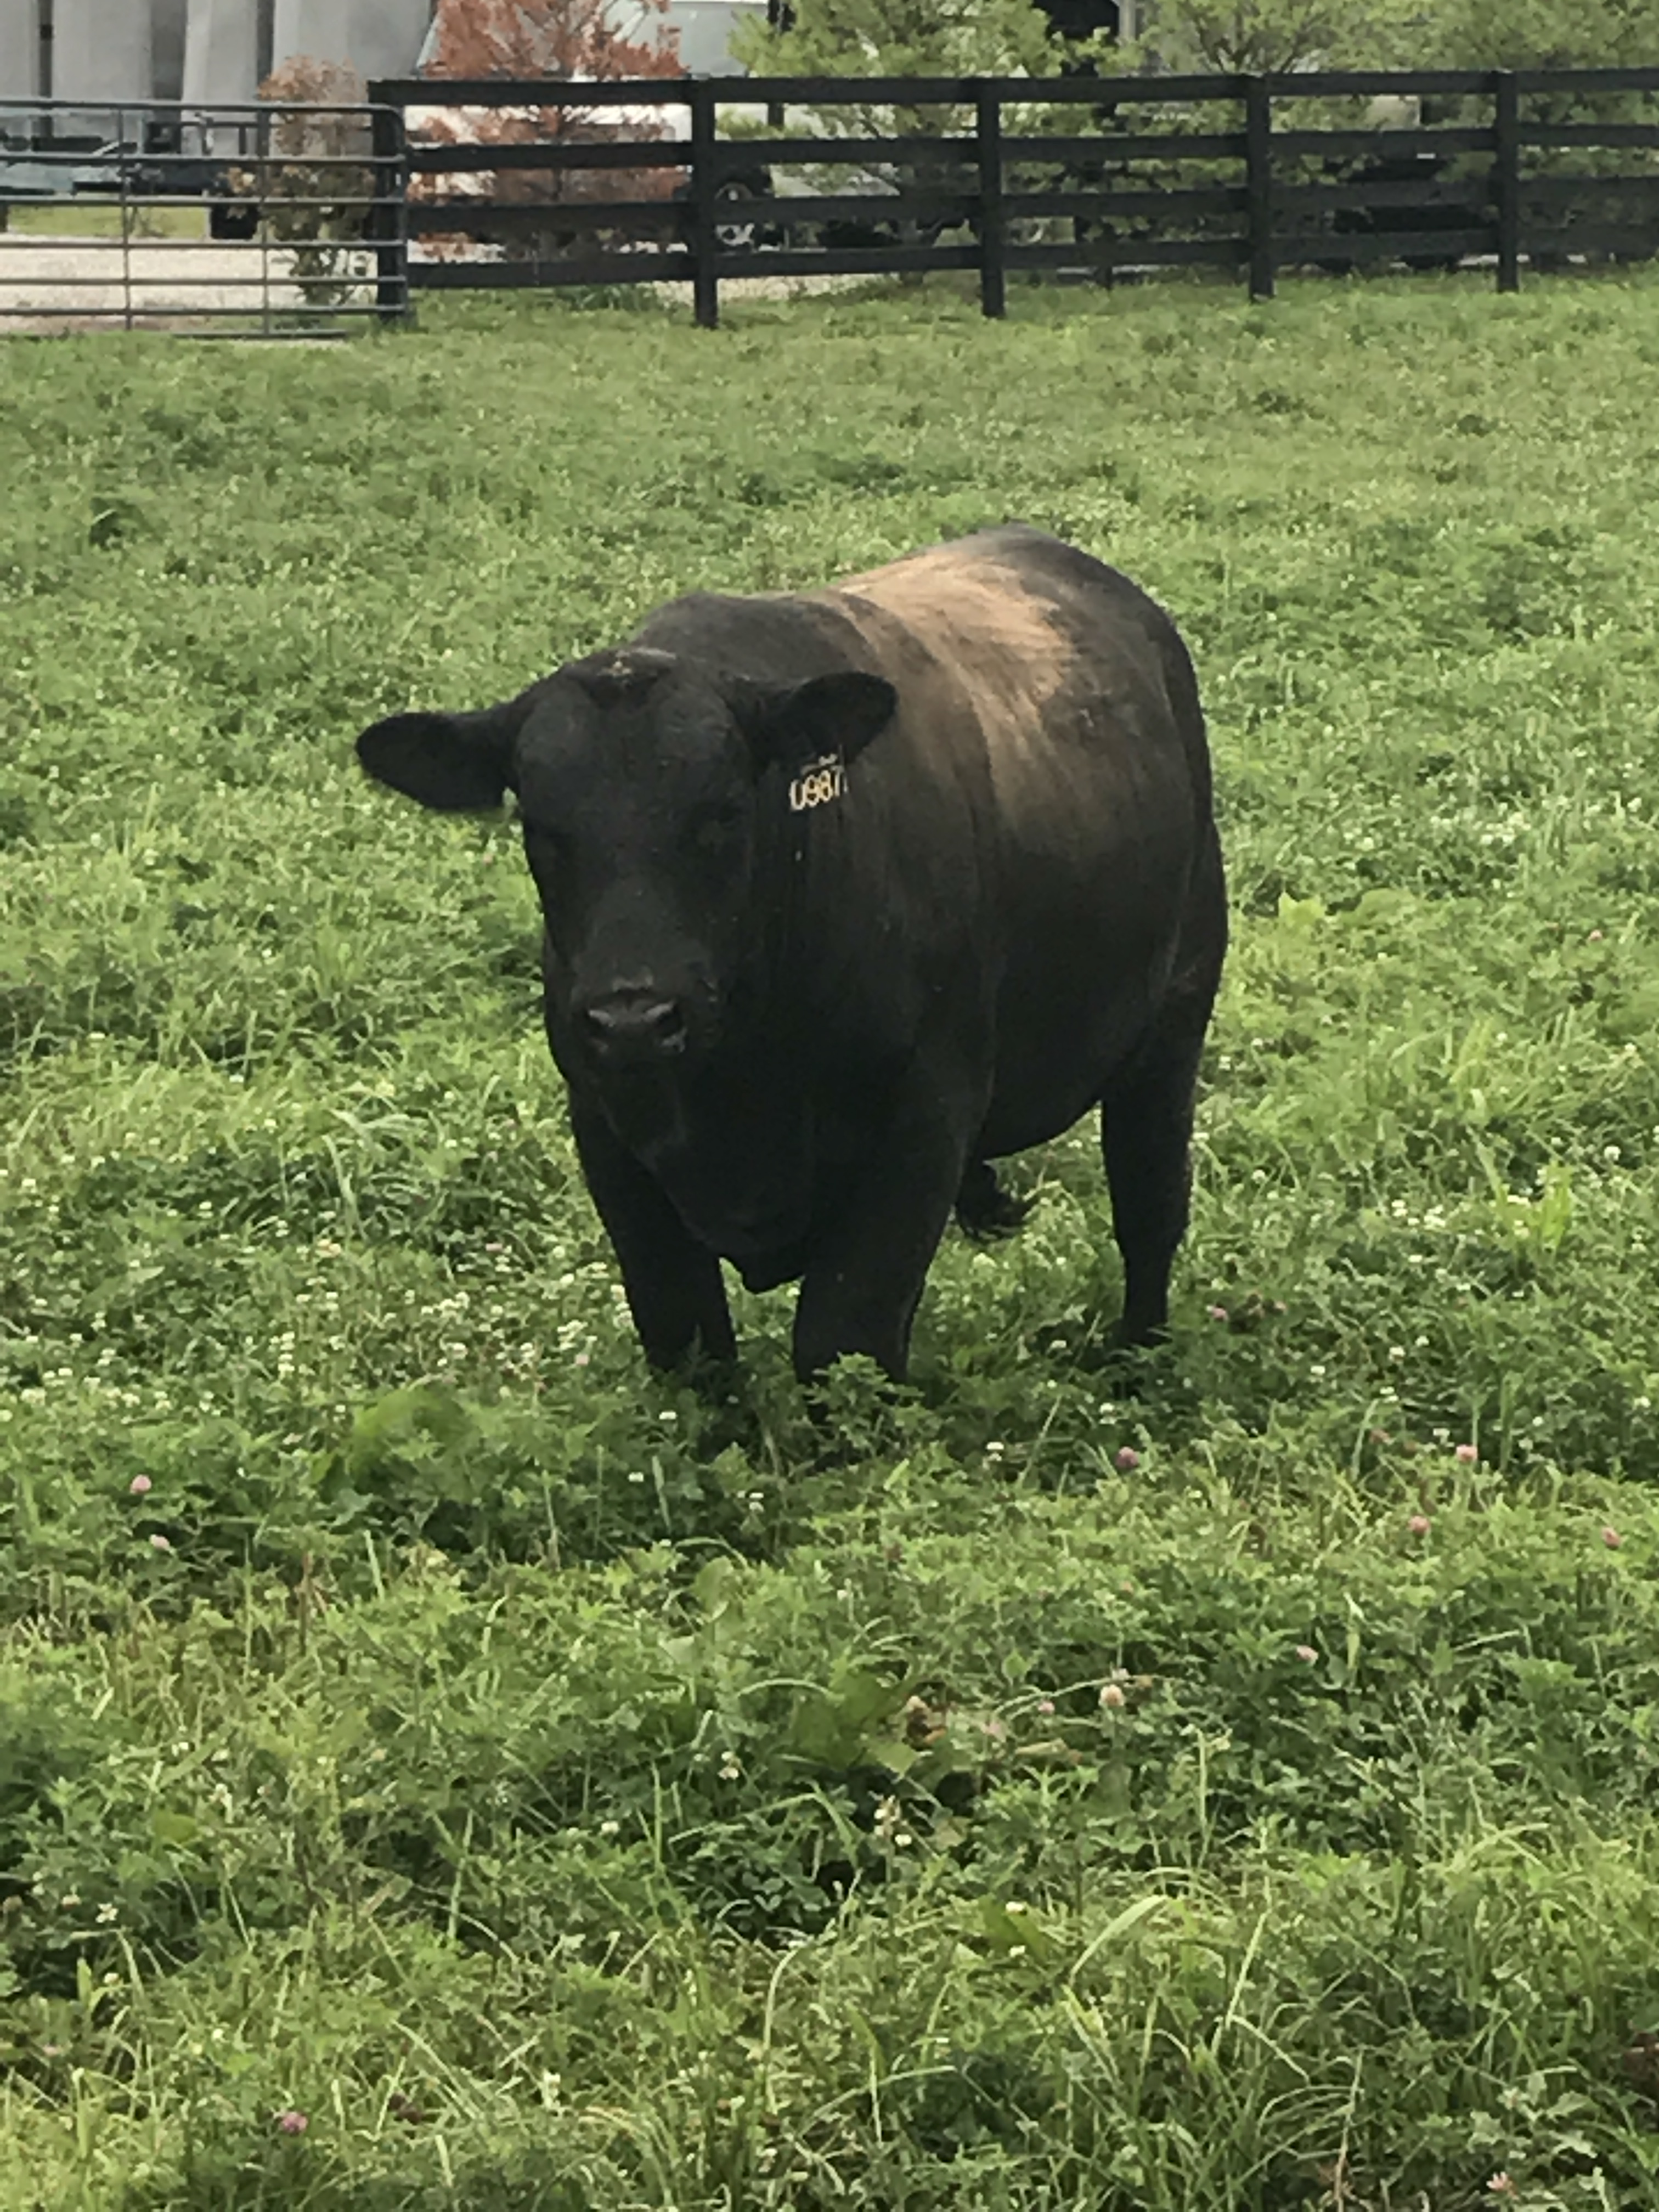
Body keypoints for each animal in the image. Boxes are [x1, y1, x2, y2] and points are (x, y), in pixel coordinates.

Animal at [355, 525, 1226, 1384]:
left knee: (1149, 1204)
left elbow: (845, 1337)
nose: (635, 1018)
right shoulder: (605, 1127)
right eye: (540, 827)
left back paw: (1138, 1360)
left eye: (724, 811)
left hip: (1174, 1018)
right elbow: (685, 1339)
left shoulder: (923, 1115)